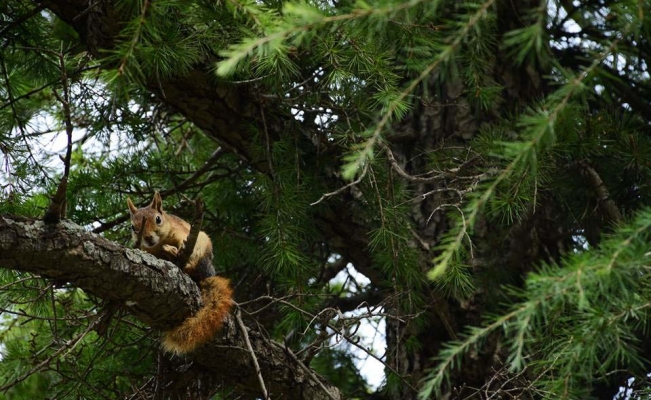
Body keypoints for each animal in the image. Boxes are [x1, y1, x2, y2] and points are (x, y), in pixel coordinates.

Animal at [126, 192, 233, 354]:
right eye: (132, 227)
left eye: (158, 219)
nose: (148, 237)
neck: (160, 242)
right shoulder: (149, 250)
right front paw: (167, 252)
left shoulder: (181, 230)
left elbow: (183, 239)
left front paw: (175, 248)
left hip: (203, 251)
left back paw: (187, 264)